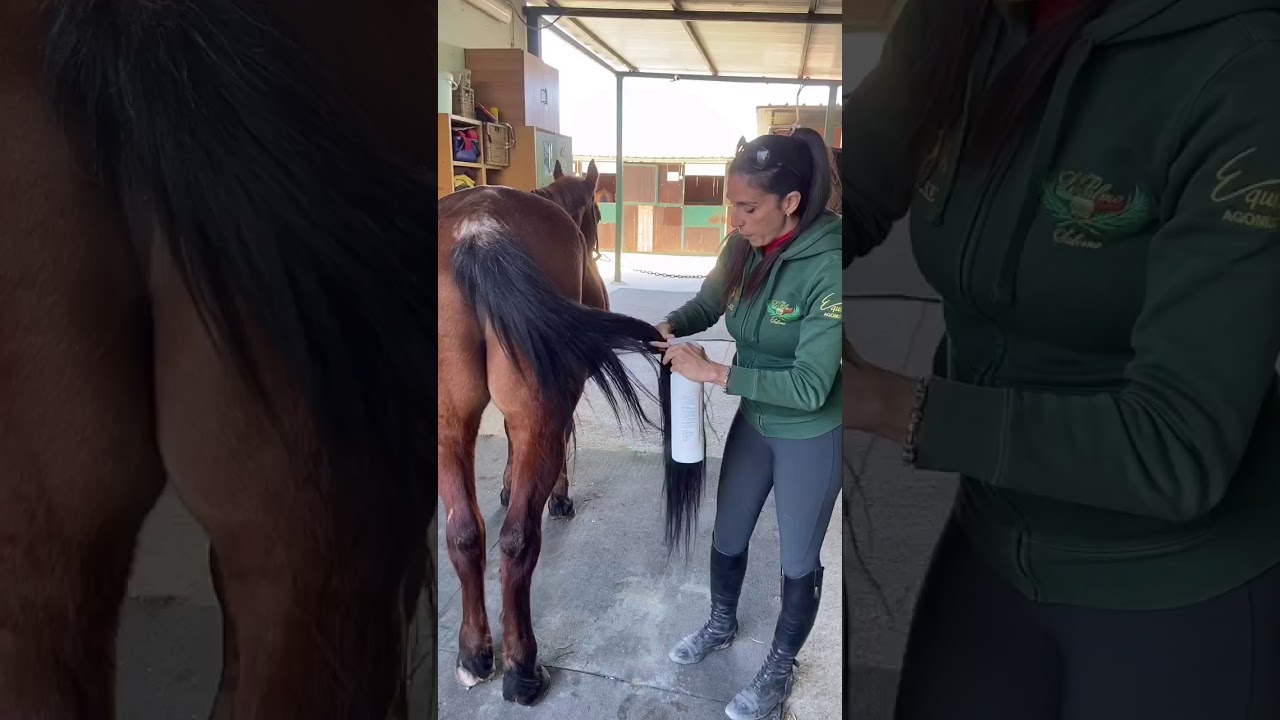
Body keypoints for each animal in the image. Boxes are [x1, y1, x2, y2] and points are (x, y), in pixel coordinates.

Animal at [438, 165, 705, 704]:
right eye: (598, 213)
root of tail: (477, 229)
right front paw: (559, 497)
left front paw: (506, 484)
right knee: (517, 539)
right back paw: (522, 669)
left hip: (448, 421)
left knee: (464, 532)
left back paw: (474, 654)